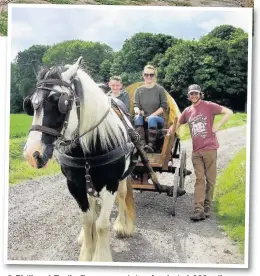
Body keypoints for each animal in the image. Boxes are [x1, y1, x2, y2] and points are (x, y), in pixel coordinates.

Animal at [23, 56, 136, 260]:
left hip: (123, 177)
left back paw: (122, 225)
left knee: (122, 196)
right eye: (31, 104)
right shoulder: (74, 184)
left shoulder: (111, 184)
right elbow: (87, 219)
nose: (31, 154)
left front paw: (100, 257)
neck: (87, 151)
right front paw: (86, 253)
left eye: (59, 102)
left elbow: (102, 224)